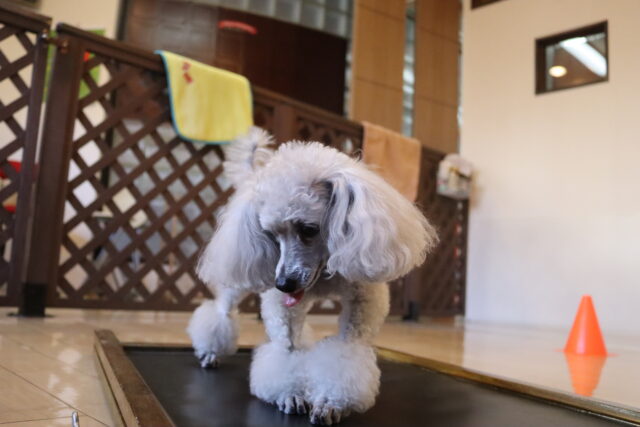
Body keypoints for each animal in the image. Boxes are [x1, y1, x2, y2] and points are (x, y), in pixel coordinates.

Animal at [188, 127, 437, 425]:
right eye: (270, 234)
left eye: (308, 229)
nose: (282, 284)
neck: (326, 274)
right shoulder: (283, 309)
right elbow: (287, 352)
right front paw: (290, 394)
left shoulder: (361, 301)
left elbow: (343, 355)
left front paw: (330, 402)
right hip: (236, 282)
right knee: (222, 311)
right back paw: (210, 350)